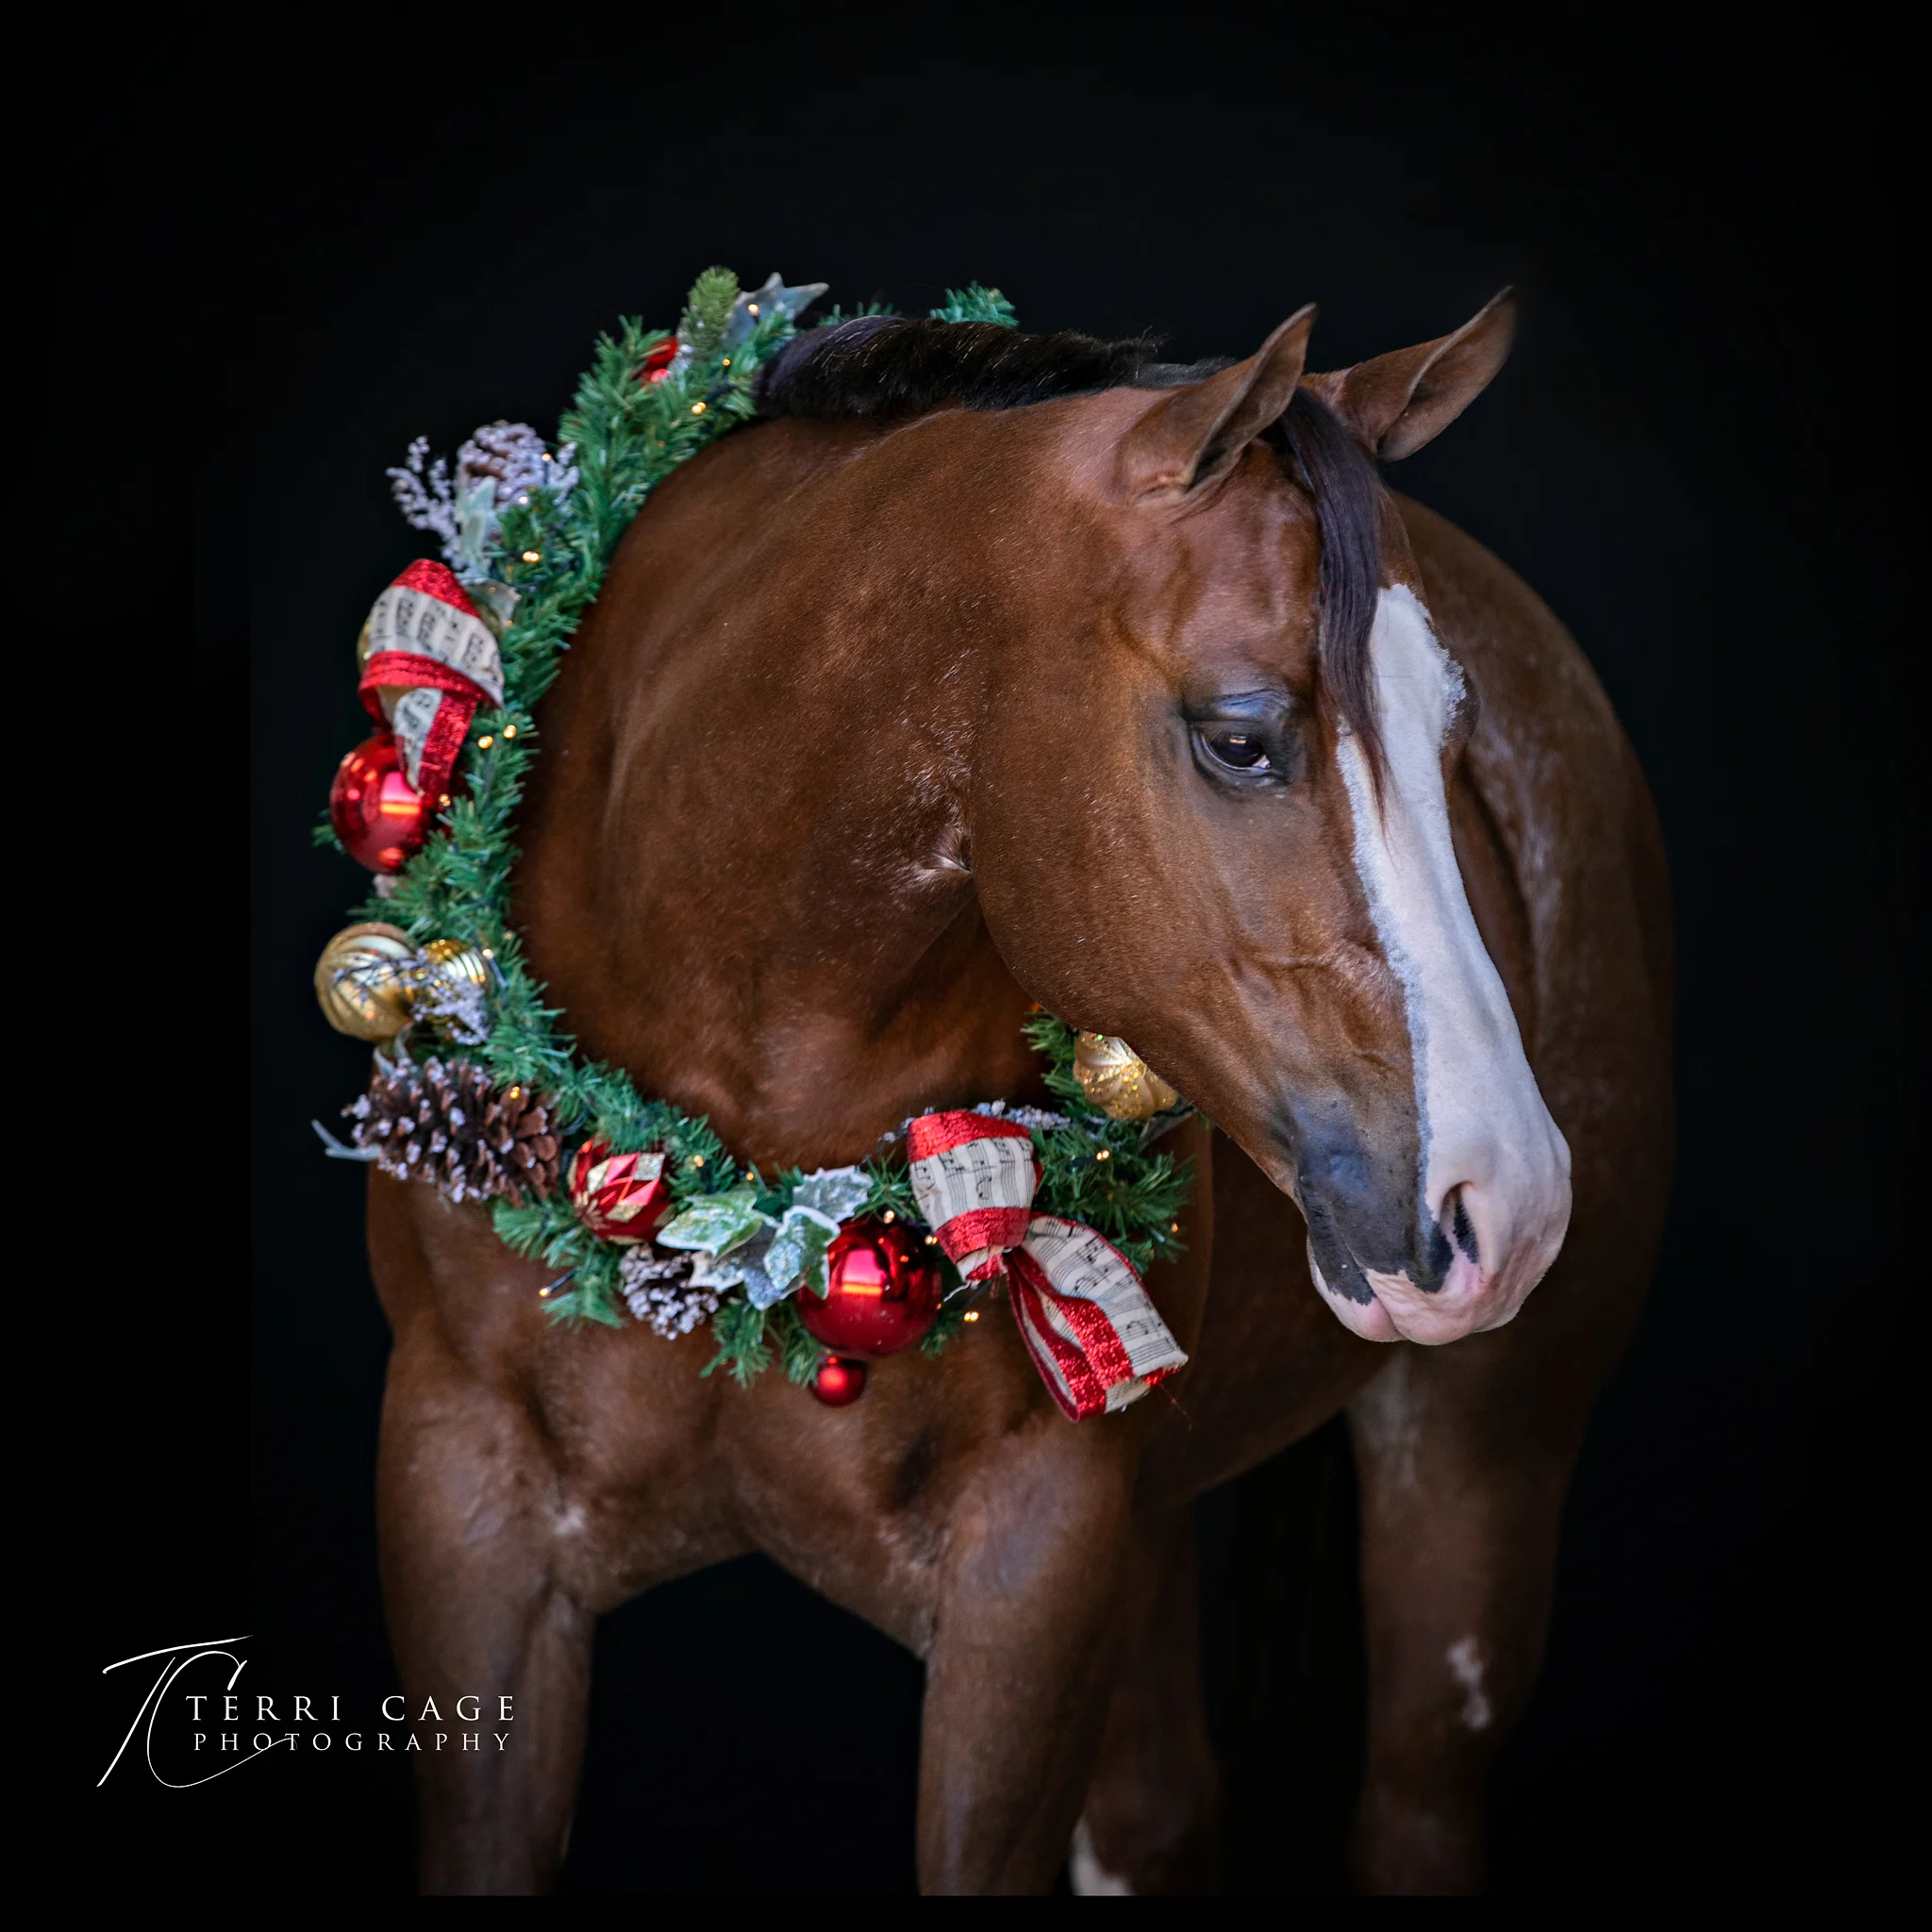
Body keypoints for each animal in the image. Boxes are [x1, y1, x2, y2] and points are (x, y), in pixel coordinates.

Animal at [364, 295, 1673, 1894]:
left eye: (1450, 746)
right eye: (1240, 735)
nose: (1511, 1197)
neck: (735, 1200)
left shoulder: (1031, 1579)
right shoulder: (466, 1526)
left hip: (1478, 1480)